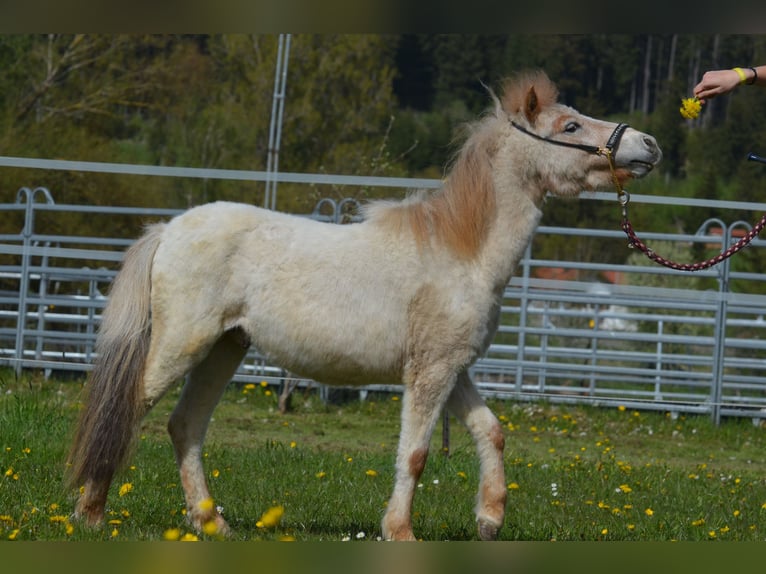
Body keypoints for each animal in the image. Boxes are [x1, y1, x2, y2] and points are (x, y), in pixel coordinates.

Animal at [66, 70, 662, 541]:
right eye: (570, 127)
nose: (649, 145)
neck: (461, 251)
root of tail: (169, 230)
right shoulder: (430, 373)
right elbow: (416, 454)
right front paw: (401, 532)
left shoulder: (451, 368)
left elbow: (490, 430)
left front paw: (490, 520)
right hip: (182, 345)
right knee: (126, 409)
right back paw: (91, 513)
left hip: (224, 349)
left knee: (186, 426)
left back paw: (212, 523)